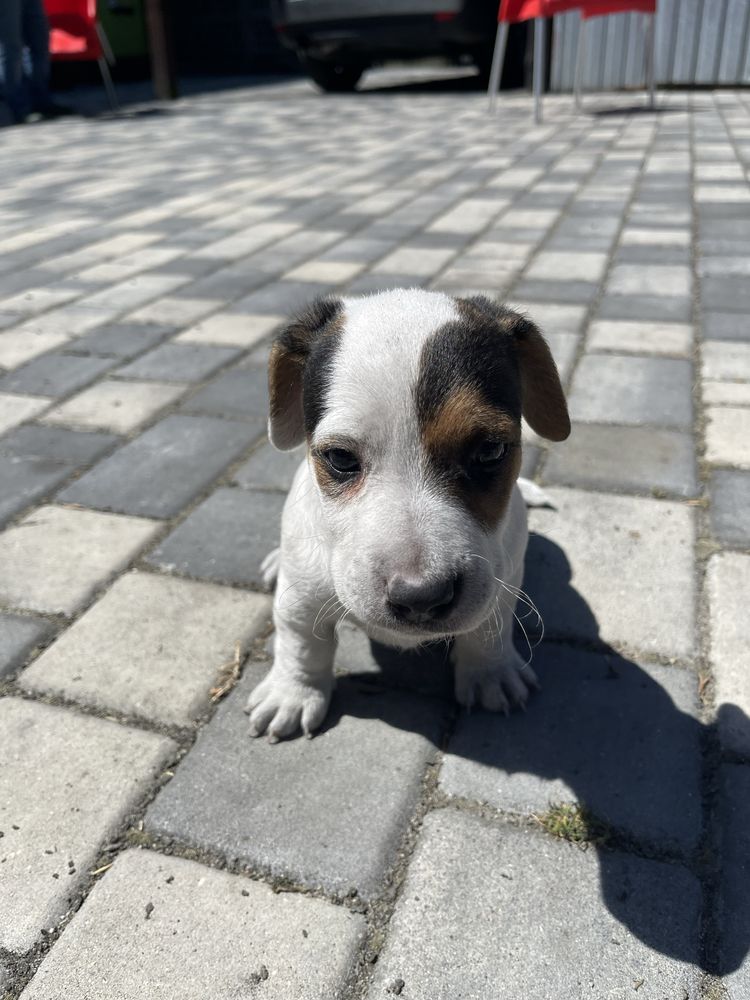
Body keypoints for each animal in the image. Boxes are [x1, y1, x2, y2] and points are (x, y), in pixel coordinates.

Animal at [247, 290, 568, 744]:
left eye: (490, 451)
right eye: (340, 458)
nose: (421, 597)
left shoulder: (502, 581)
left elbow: (489, 631)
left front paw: (491, 673)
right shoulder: (301, 597)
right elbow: (301, 643)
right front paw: (293, 694)